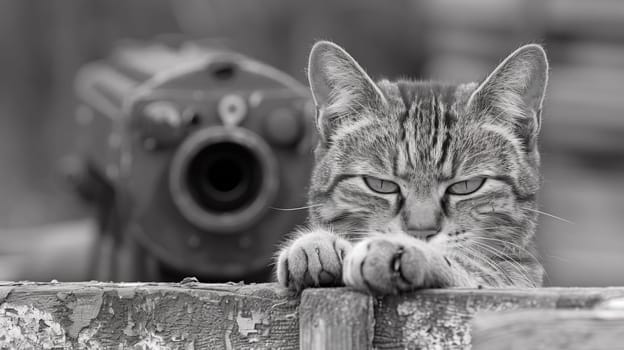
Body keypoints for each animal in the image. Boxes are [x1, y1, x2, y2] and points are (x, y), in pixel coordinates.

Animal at [276, 39, 548, 294]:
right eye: (380, 184)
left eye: (467, 186)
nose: (421, 232)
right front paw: (315, 243)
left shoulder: (518, 278)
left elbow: (471, 267)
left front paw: (402, 251)